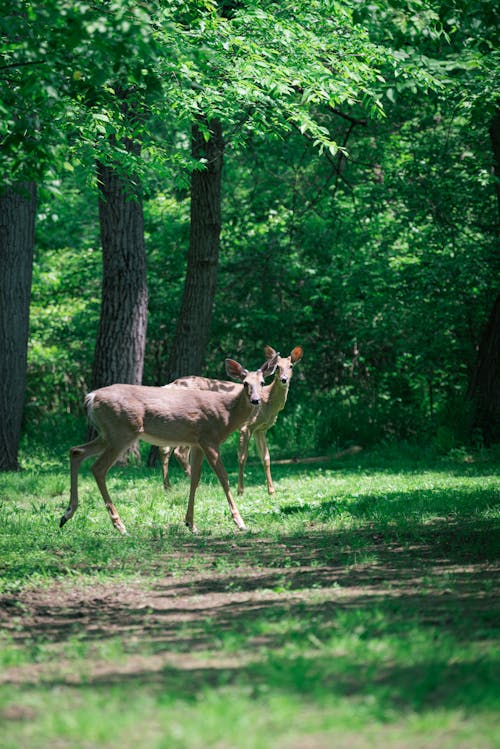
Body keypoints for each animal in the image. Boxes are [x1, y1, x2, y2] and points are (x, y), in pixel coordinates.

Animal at [59, 354, 280, 536]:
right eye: (244, 383)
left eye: (262, 382)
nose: (256, 400)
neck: (226, 414)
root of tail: (91, 397)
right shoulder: (209, 438)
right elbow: (223, 478)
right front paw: (240, 522)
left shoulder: (197, 443)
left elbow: (195, 480)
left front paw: (191, 524)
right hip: (122, 431)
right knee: (98, 468)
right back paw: (119, 525)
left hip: (107, 433)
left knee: (76, 451)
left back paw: (66, 514)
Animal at [160, 344, 302, 496]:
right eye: (278, 367)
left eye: (291, 366)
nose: (284, 379)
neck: (267, 402)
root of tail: (167, 386)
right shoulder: (246, 426)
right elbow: (242, 457)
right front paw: (240, 490)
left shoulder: (260, 429)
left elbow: (266, 457)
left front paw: (271, 491)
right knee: (179, 452)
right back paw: (200, 485)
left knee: (165, 449)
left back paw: (168, 487)